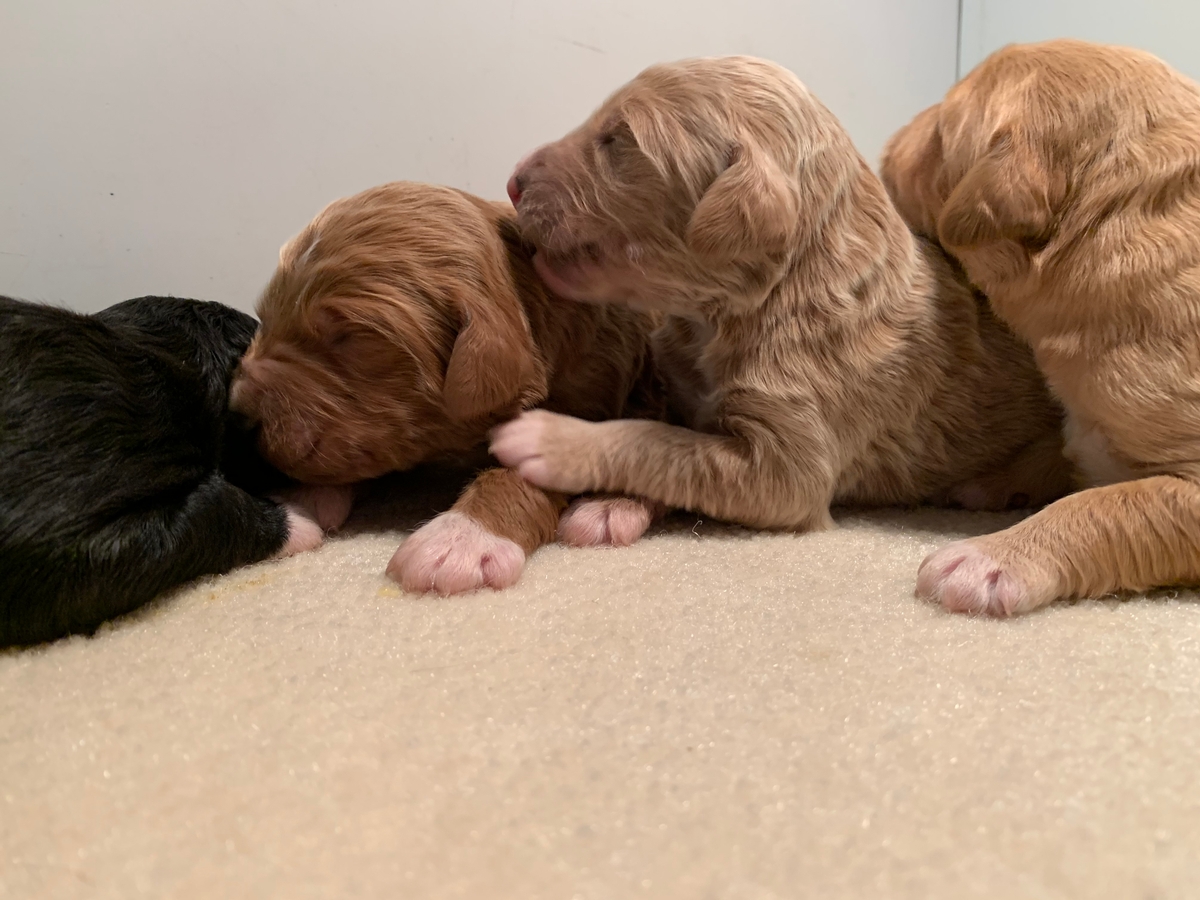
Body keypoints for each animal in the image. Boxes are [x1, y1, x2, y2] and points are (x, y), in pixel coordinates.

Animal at [229, 181, 672, 600]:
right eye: (266, 318)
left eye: (349, 337)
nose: (237, 414)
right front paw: (297, 501)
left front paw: (460, 540)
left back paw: (608, 508)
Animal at [487, 60, 1070, 542]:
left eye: (615, 139)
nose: (512, 181)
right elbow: (671, 432)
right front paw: (612, 504)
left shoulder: (786, 460)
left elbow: (660, 443)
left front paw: (552, 441)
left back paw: (990, 486)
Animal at [878, 38, 1200, 619]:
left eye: (938, 134)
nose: (887, 143)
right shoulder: (1081, 421)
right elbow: (1060, 452)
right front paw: (992, 481)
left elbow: (1115, 502)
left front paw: (990, 558)